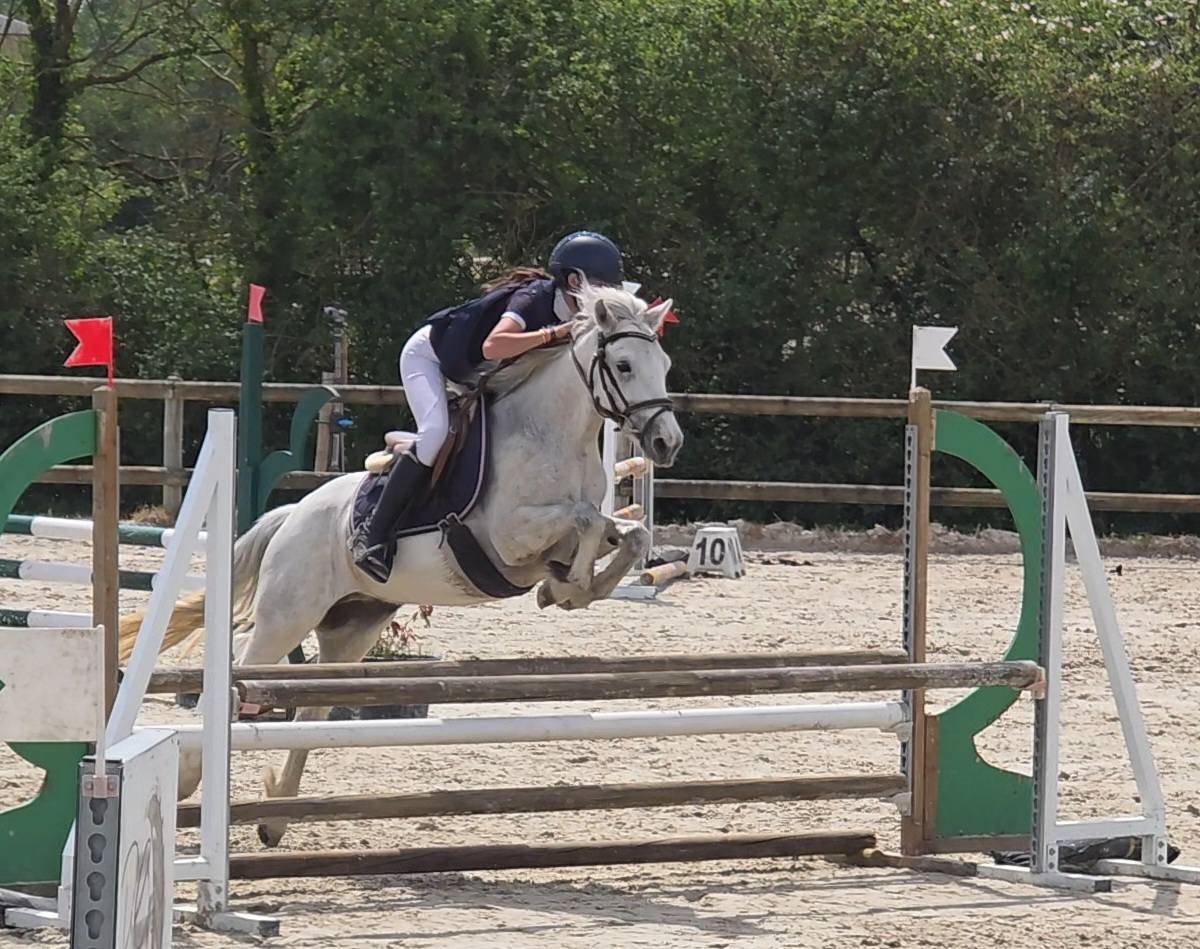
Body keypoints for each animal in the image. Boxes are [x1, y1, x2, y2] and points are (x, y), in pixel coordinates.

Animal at [121, 284, 683, 847]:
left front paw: (572, 587)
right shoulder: (508, 536)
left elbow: (627, 533)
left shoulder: (566, 535)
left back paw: (276, 812)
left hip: (353, 628)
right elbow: (584, 520)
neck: (550, 433)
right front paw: (570, 586)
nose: (667, 443)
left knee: (312, 705)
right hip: (288, 613)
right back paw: (191, 775)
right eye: (625, 365)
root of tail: (291, 514)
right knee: (243, 661)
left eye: (665, 365)